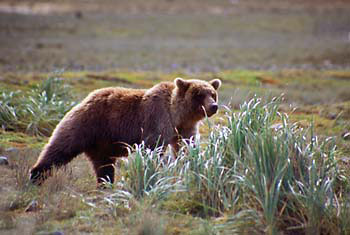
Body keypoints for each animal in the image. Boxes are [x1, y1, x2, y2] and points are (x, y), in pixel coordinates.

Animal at [30, 78, 221, 185]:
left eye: (212, 93)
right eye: (199, 94)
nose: (213, 106)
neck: (177, 115)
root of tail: (85, 99)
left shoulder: (185, 128)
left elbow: (186, 147)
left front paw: (192, 165)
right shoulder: (157, 119)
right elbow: (153, 147)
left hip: (102, 143)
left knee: (104, 165)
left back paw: (105, 184)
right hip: (85, 124)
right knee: (60, 148)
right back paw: (36, 175)